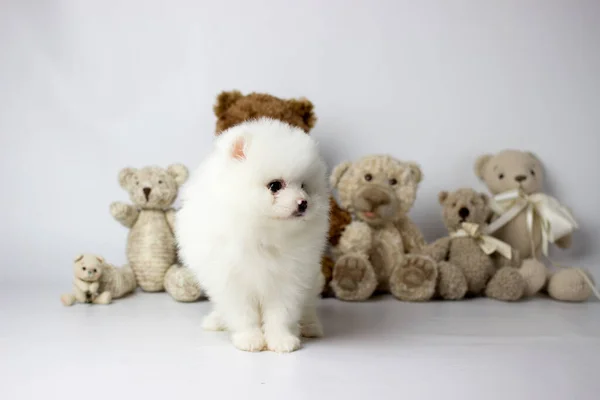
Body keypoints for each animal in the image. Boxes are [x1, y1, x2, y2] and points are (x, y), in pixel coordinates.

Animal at [176, 116, 330, 354]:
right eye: (275, 186)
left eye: (304, 186)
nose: (303, 203)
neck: (263, 232)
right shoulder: (231, 278)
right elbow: (243, 314)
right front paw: (249, 339)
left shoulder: (290, 278)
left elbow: (281, 313)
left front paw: (281, 339)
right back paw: (216, 320)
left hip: (314, 279)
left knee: (309, 305)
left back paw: (310, 326)